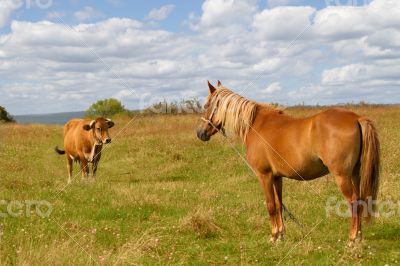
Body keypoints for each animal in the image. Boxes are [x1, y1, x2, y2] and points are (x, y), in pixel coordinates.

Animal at [198, 81, 380, 243]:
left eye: (206, 105)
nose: (200, 133)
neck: (255, 125)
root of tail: (356, 118)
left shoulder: (264, 175)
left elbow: (271, 205)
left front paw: (273, 237)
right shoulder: (277, 177)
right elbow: (279, 205)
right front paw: (281, 235)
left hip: (342, 176)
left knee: (354, 202)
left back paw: (352, 239)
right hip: (355, 174)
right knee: (360, 201)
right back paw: (359, 237)